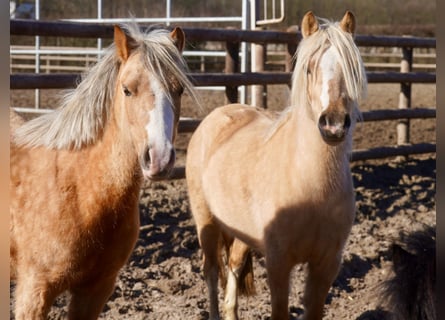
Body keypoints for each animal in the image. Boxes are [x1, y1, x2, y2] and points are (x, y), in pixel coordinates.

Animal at [8, 23, 195, 320]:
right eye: (127, 90)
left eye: (178, 90)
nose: (160, 157)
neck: (79, 189)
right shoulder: (33, 292)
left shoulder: (96, 289)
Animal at [186, 10, 366, 320]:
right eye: (309, 70)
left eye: (351, 70)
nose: (332, 124)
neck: (311, 184)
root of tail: (216, 116)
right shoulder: (279, 263)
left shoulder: (326, 264)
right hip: (206, 222)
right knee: (210, 271)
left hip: (240, 232)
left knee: (233, 266)